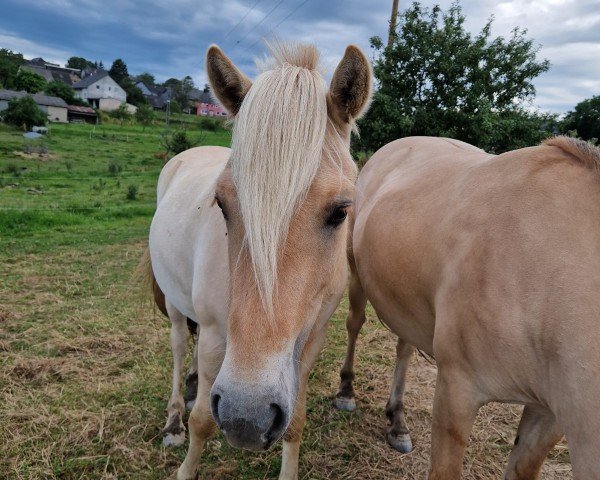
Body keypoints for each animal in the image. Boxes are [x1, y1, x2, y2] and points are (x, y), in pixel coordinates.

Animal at [145, 42, 370, 480]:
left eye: (341, 211)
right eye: (221, 204)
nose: (246, 417)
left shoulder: (310, 340)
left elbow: (295, 423)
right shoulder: (216, 336)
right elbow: (203, 421)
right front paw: (186, 467)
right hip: (175, 303)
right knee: (179, 347)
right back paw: (173, 419)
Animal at [336, 136, 600, 480]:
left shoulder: (549, 415)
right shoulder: (457, 391)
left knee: (404, 348)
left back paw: (397, 421)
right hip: (356, 273)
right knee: (354, 323)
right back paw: (346, 392)